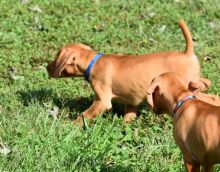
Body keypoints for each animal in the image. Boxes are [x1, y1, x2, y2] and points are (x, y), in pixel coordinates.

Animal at [46, 19, 210, 124]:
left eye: (56, 58)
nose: (47, 67)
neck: (93, 61)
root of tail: (187, 53)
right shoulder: (131, 100)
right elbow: (129, 116)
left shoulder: (102, 101)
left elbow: (84, 115)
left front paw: (71, 126)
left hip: (188, 86)